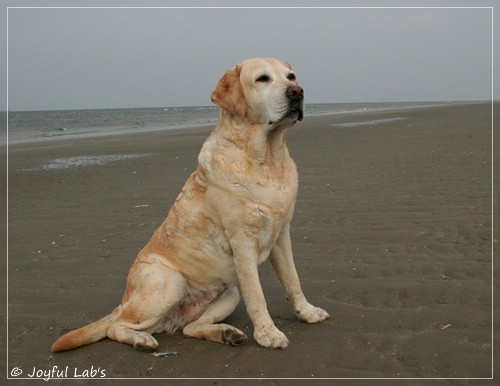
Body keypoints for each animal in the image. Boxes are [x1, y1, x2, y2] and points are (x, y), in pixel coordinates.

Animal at [51, 57, 328, 352]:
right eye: (262, 79)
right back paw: (141, 340)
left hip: (229, 293)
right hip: (170, 281)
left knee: (190, 328)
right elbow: (257, 295)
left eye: (291, 76)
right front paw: (268, 333)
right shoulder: (242, 241)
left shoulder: (282, 235)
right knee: (117, 327)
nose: (297, 92)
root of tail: (123, 303)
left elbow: (292, 279)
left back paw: (226, 334)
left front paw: (307, 312)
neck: (267, 159)